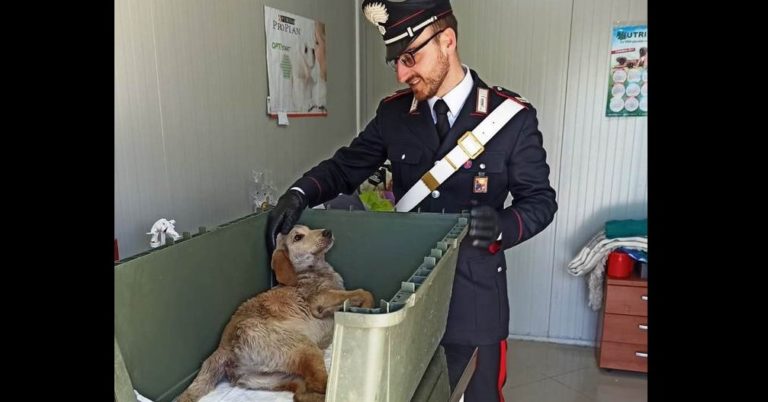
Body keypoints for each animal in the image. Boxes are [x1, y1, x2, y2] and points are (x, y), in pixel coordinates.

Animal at [177, 225, 376, 402]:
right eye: (298, 237)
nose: (328, 232)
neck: (308, 270)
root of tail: (225, 349)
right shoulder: (320, 300)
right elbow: (362, 292)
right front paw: (366, 307)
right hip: (304, 348)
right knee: (321, 385)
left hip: (274, 378)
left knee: (303, 394)